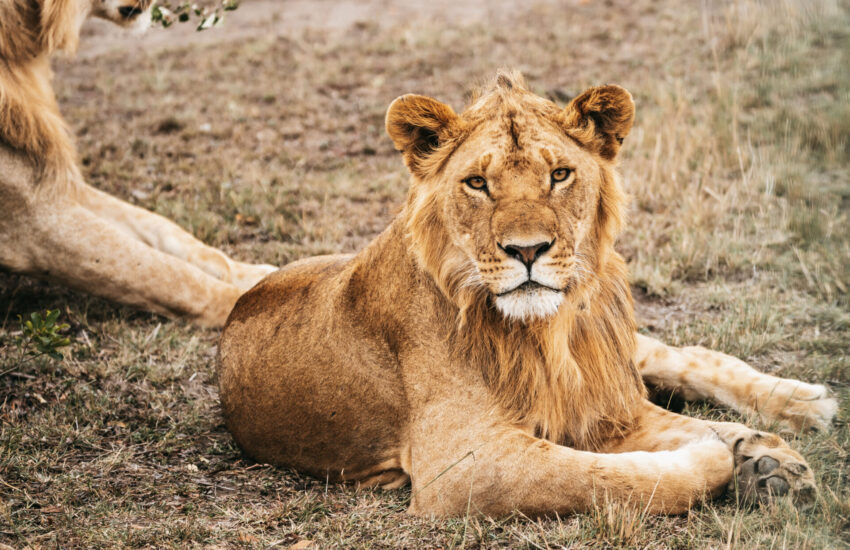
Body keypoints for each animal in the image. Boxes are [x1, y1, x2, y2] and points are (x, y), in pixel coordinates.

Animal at [218, 72, 835, 517]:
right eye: (477, 183)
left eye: (559, 175)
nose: (528, 249)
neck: (546, 333)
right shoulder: (464, 464)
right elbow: (609, 478)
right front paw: (729, 455)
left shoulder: (603, 403)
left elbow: (647, 441)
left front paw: (757, 452)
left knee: (680, 356)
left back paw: (801, 411)